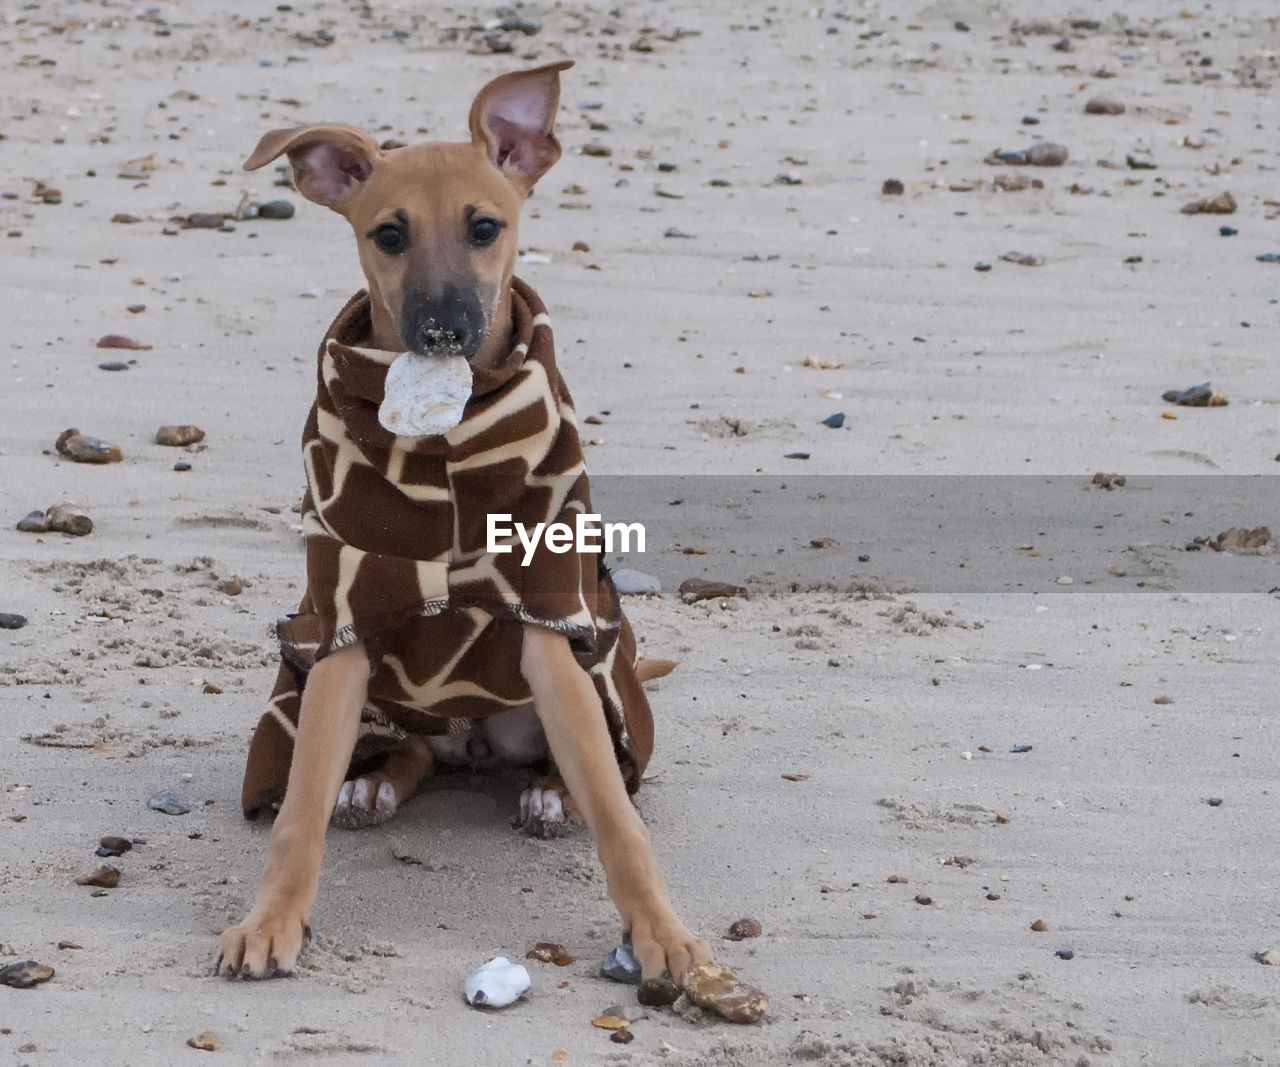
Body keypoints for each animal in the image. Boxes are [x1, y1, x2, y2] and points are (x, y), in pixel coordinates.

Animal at [216, 62, 716, 987]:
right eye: (388, 234)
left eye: (485, 227)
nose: (442, 329)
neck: (445, 442)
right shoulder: (346, 618)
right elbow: (297, 811)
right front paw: (269, 920)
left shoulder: (549, 619)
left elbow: (619, 818)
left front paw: (660, 932)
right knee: (405, 752)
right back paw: (372, 783)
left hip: (589, 670)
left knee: (586, 763)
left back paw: (549, 794)